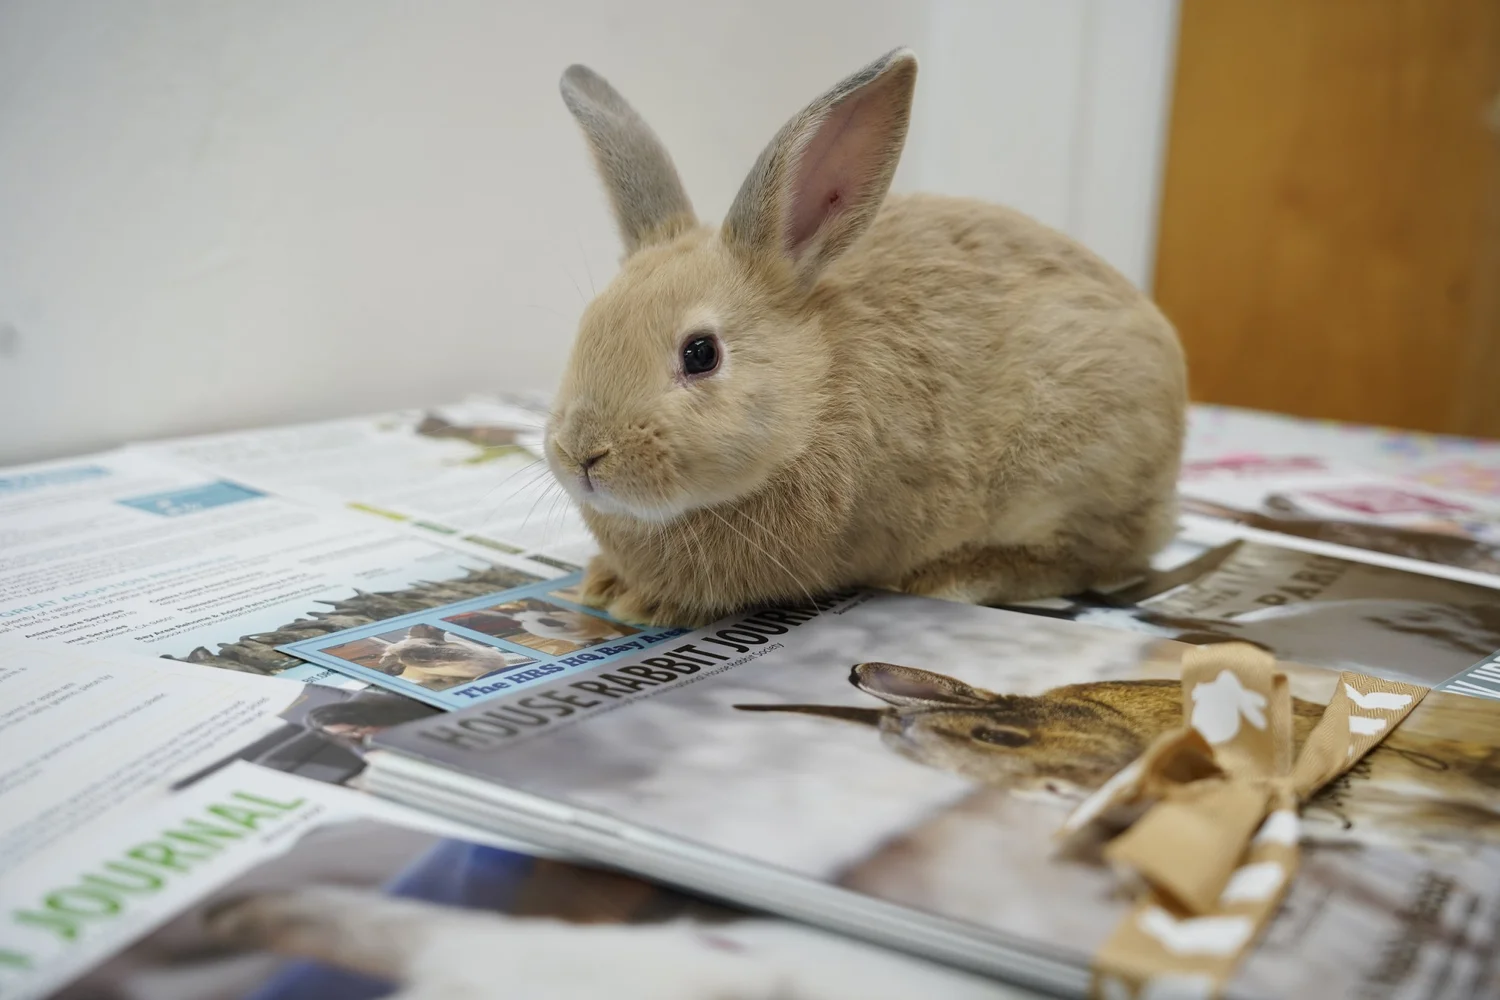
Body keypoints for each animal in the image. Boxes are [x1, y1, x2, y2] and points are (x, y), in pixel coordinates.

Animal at [543, 47, 1187, 628]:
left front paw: (645, 602)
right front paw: (604, 583)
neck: (816, 392)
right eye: (587, 327)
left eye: (701, 354)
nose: (583, 455)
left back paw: (953, 576)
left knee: (1094, 558)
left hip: (1075, 472)